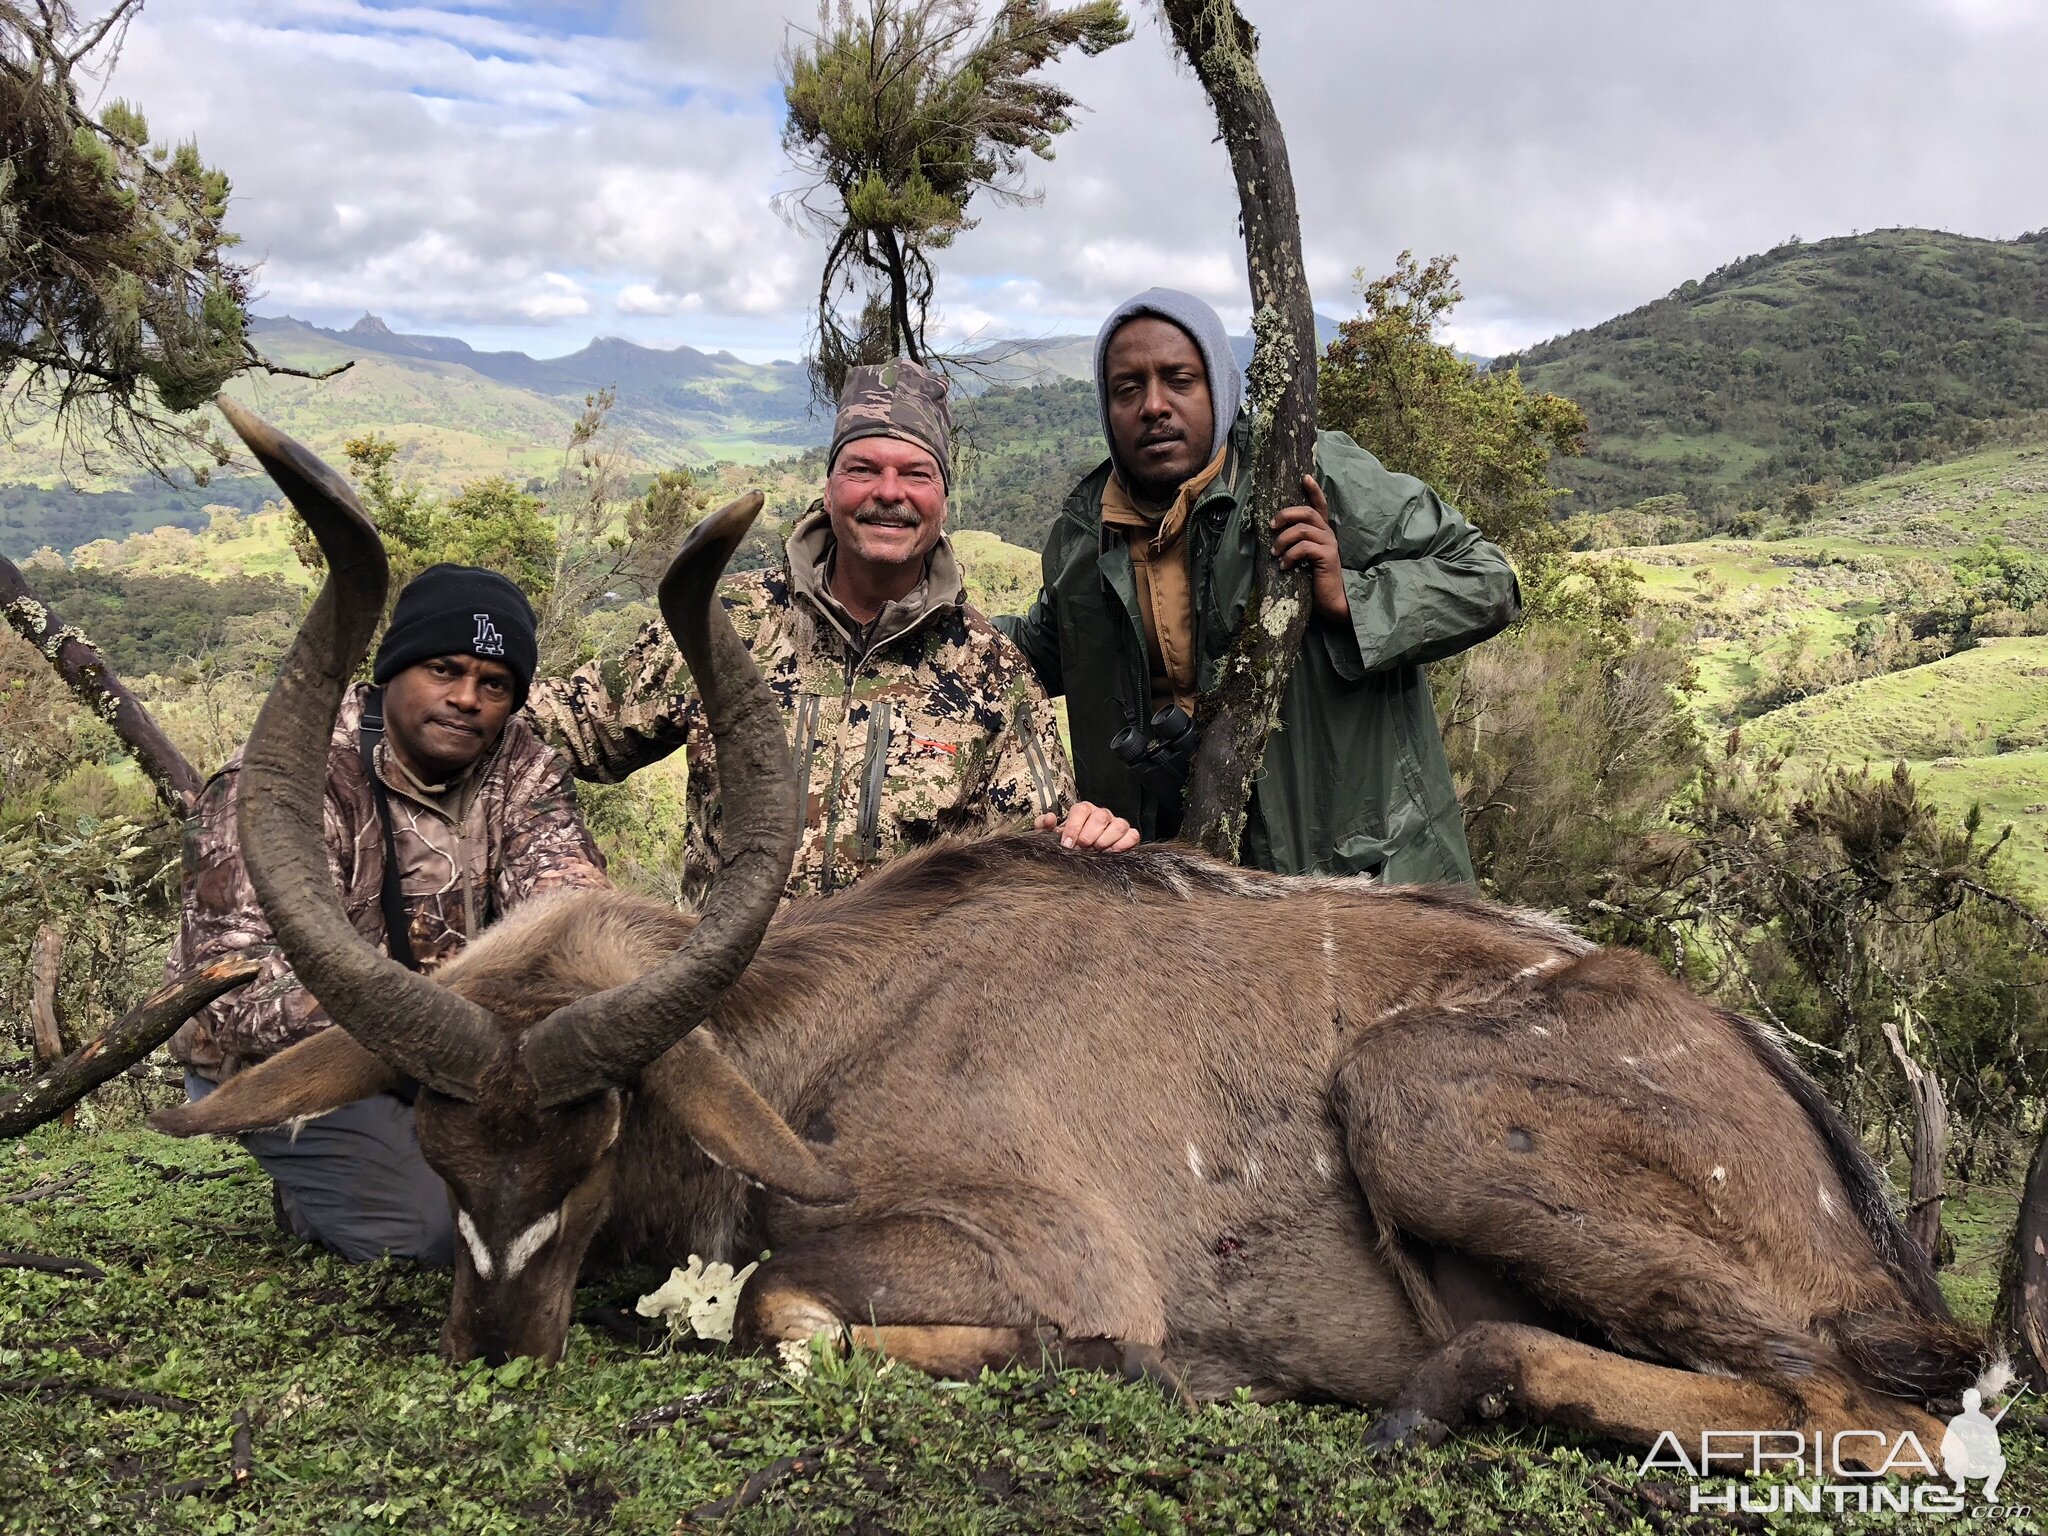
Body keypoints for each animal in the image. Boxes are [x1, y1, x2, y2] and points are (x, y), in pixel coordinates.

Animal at [155, 403, 1998, 1458]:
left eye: (598, 1132)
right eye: (430, 1133)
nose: (495, 1350)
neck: (825, 1042)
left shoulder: (1040, 1251)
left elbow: (781, 1310)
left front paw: (1130, 1370)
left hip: (1418, 1103)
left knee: (1871, 1413)